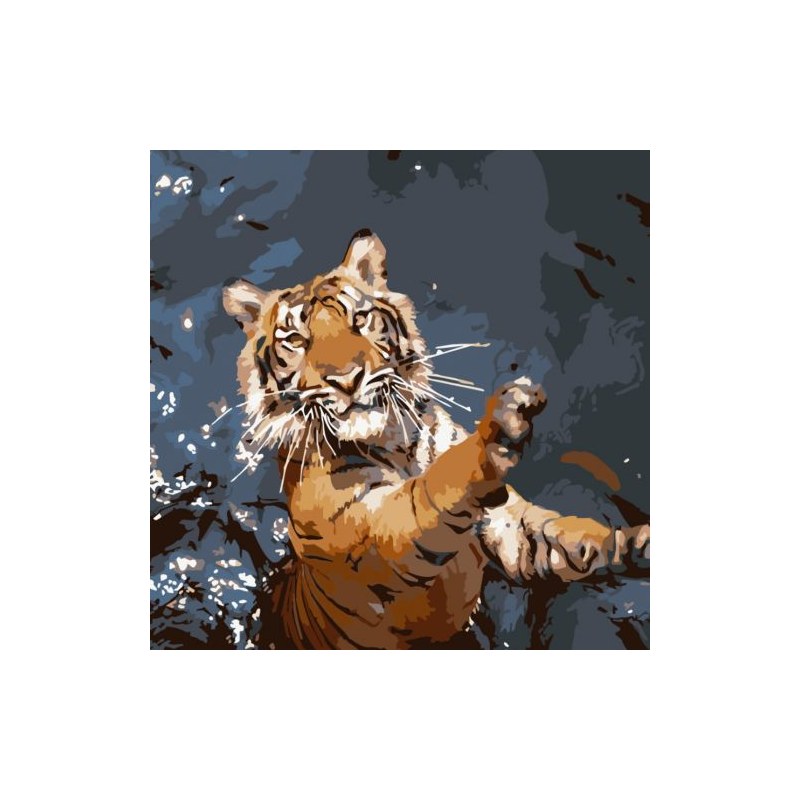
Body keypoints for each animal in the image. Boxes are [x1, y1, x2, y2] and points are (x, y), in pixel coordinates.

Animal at [223, 229, 650, 649]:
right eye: (296, 340)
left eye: (360, 320)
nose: (347, 379)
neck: (396, 440)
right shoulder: (374, 535)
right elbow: (431, 489)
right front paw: (496, 430)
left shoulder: (507, 524)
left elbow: (567, 536)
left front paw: (633, 544)